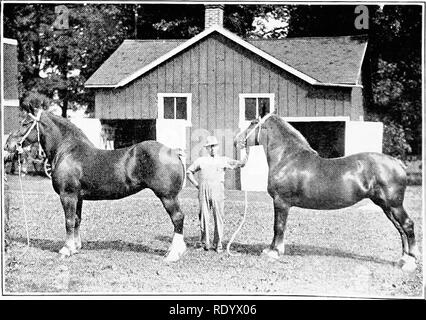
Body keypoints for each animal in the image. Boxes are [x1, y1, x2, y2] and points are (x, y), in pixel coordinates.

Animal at [3, 106, 186, 262]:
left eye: (25, 123)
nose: (8, 145)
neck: (67, 151)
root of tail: (173, 152)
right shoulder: (78, 197)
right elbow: (77, 220)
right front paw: (75, 247)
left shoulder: (67, 195)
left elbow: (68, 221)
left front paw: (66, 249)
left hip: (168, 197)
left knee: (177, 218)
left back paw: (173, 254)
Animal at [235, 114, 422, 272]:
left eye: (252, 123)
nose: (236, 141)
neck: (287, 158)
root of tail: (397, 163)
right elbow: (278, 227)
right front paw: (271, 250)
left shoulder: (281, 202)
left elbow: (278, 226)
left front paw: (274, 252)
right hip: (385, 206)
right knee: (400, 228)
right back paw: (403, 259)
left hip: (394, 204)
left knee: (407, 225)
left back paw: (411, 261)